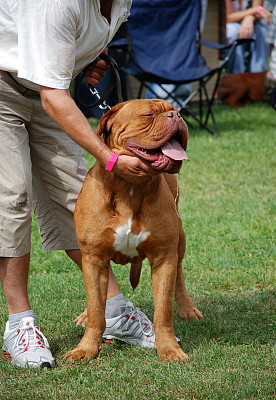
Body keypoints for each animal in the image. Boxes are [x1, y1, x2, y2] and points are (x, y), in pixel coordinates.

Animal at [64, 98, 203, 360]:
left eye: (175, 110)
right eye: (148, 115)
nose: (176, 115)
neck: (129, 188)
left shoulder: (164, 258)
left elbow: (163, 311)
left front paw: (169, 348)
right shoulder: (93, 258)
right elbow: (96, 308)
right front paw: (85, 348)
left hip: (179, 239)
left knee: (179, 273)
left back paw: (188, 308)